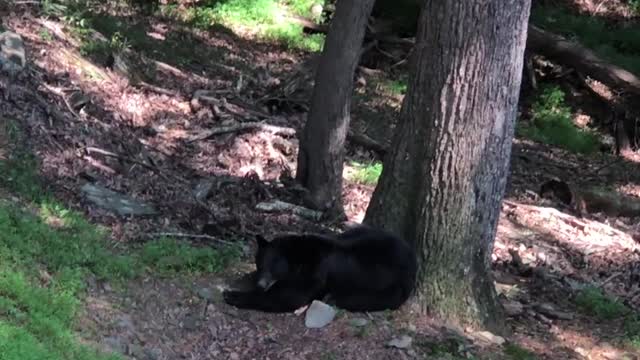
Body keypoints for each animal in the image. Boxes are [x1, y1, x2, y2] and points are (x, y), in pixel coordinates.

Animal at [222, 225, 418, 312]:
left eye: (275, 266)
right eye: (260, 263)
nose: (261, 284)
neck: (299, 257)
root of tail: (413, 257)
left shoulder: (316, 272)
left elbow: (288, 297)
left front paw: (232, 295)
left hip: (390, 282)